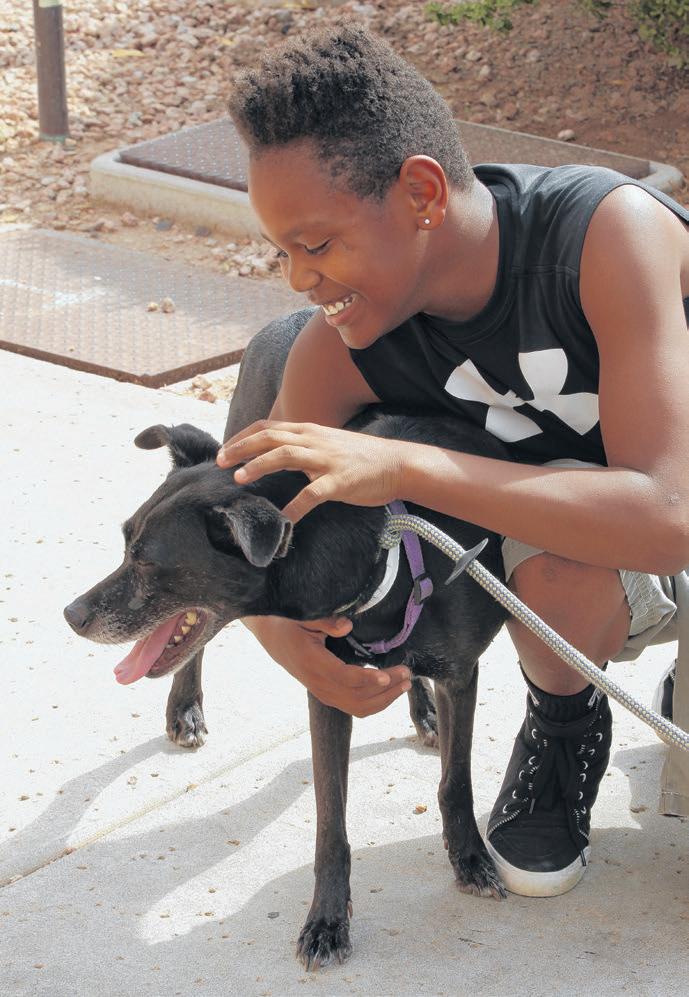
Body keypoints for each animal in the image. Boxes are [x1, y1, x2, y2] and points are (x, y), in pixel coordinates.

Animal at [64, 409, 509, 969]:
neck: (389, 558)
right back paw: (185, 710)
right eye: (126, 543)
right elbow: (330, 825)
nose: (71, 615)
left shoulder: (461, 674)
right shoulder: (330, 687)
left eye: (145, 559)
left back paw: (424, 712)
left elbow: (456, 782)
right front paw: (327, 921)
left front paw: (471, 859)